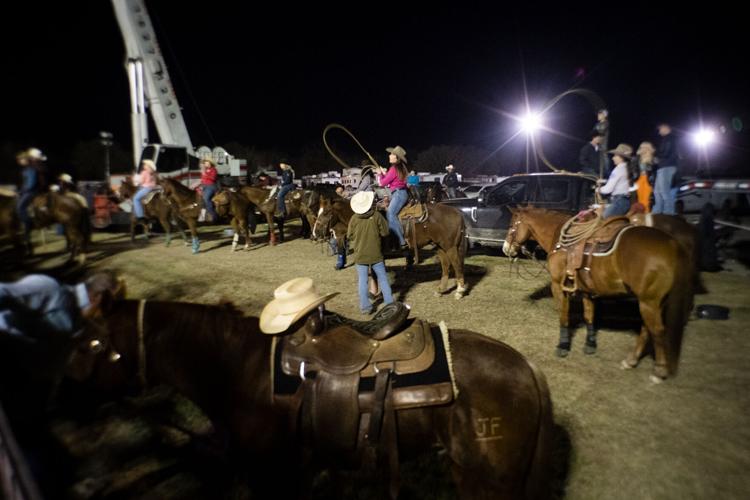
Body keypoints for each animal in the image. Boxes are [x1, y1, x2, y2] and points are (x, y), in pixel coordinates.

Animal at [67, 298, 556, 498]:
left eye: (92, 343)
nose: (67, 400)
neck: (238, 367)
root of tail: (527, 367)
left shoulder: (270, 476)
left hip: (486, 483)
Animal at [312, 195, 470, 296]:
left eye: (326, 212)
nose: (314, 233)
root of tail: (458, 212)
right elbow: (373, 272)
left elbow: (374, 272)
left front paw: (375, 292)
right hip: (439, 246)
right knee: (445, 265)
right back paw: (441, 289)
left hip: (450, 246)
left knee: (456, 264)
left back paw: (460, 291)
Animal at [502, 207, 696, 382]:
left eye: (511, 225)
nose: (506, 248)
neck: (560, 240)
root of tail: (673, 244)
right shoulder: (587, 291)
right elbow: (589, 316)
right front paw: (590, 344)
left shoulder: (558, 286)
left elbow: (563, 317)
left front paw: (563, 346)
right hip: (655, 302)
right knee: (646, 329)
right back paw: (631, 361)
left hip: (649, 302)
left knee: (657, 331)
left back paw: (659, 371)